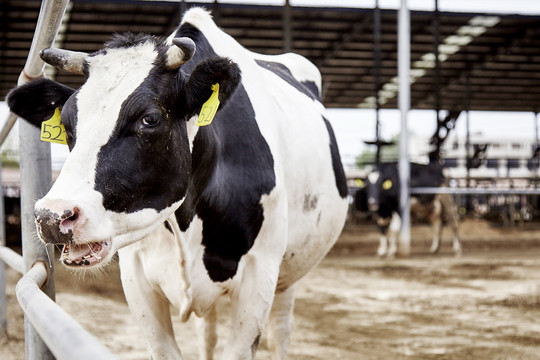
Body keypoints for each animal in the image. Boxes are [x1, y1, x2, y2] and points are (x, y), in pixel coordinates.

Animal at [7, 7, 350, 360]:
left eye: (150, 118)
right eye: (66, 123)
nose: (52, 217)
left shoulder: (260, 277)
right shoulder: (136, 279)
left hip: (287, 275)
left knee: (279, 331)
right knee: (207, 333)